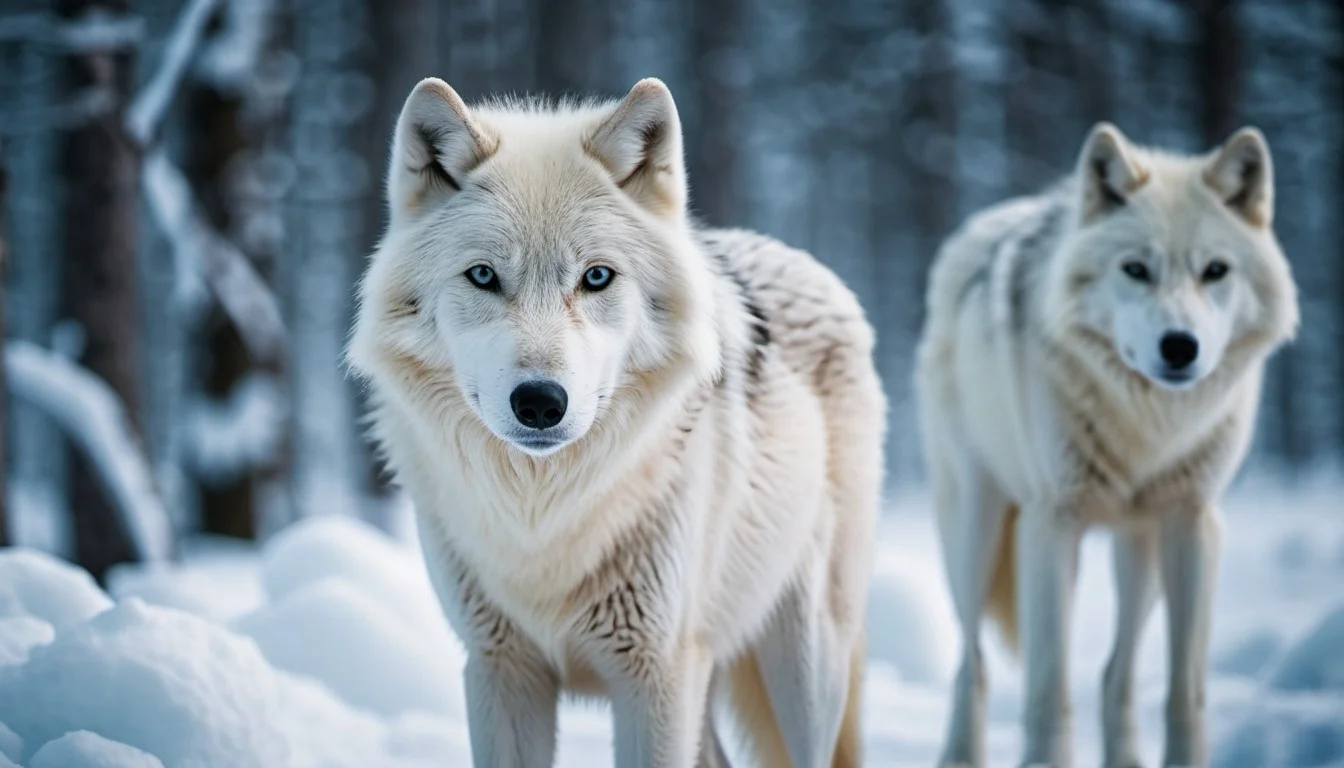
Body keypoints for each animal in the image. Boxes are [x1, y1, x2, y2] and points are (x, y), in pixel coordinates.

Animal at [346, 76, 886, 768]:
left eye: (596, 276)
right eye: (484, 276)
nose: (540, 402)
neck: (542, 517)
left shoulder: (656, 675)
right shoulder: (500, 668)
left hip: (804, 667)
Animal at [914, 122, 1299, 767]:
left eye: (1215, 271)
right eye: (1136, 269)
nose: (1180, 346)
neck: (1146, 425)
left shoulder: (1193, 522)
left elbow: (1184, 687)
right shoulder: (1052, 525)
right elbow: (1048, 686)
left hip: (1138, 546)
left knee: (1116, 673)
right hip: (975, 531)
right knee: (973, 664)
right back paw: (959, 756)